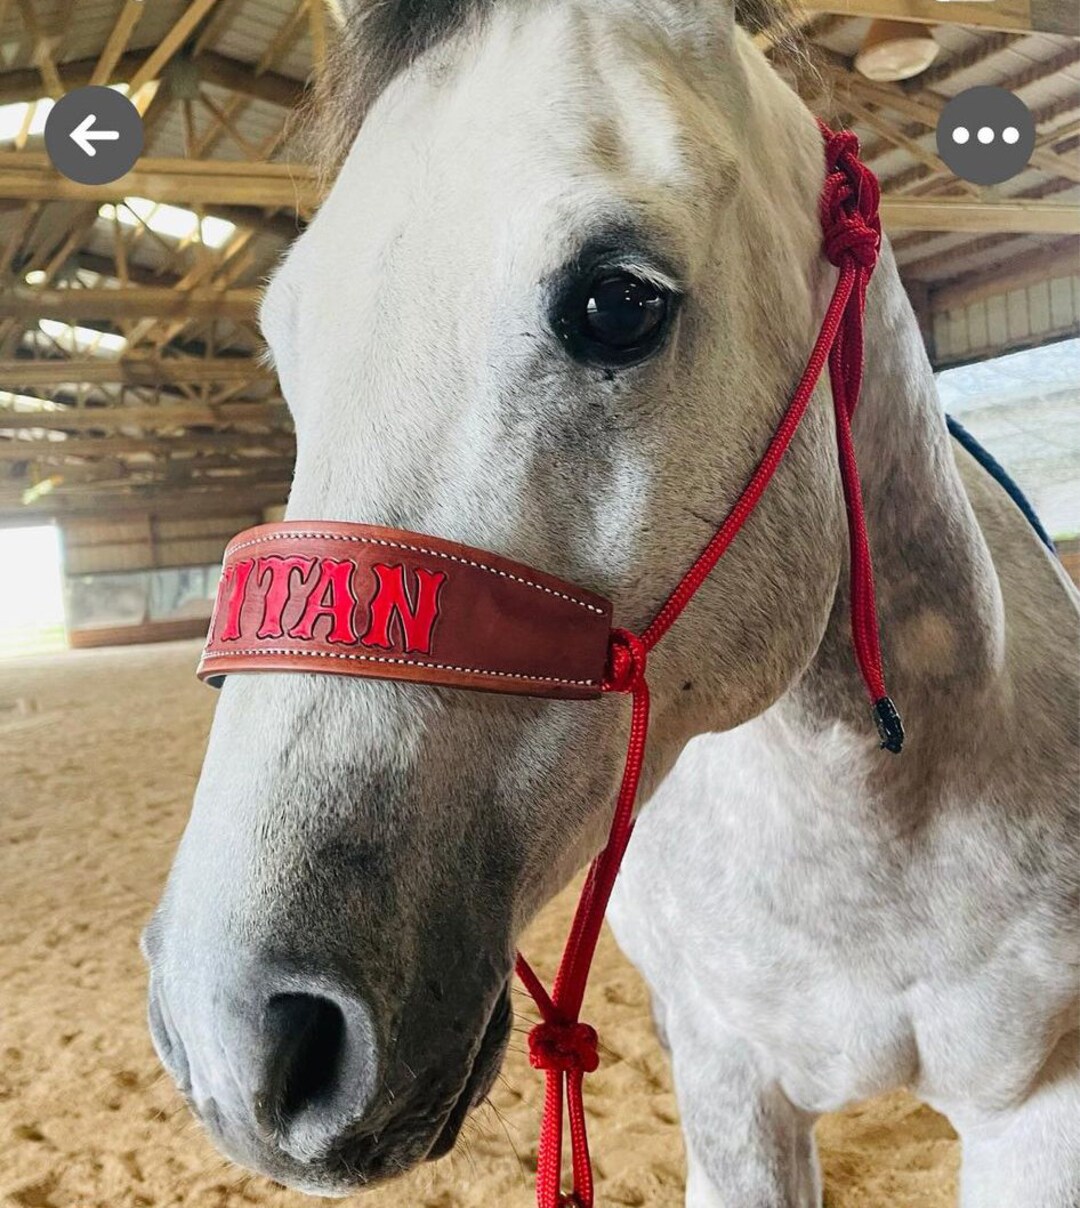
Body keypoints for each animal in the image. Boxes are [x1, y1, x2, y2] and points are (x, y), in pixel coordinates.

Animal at [142, 1, 1080, 1204]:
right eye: (286, 338)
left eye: (618, 302)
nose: (232, 1031)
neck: (871, 822)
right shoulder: (731, 1085)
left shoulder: (1039, 1110)